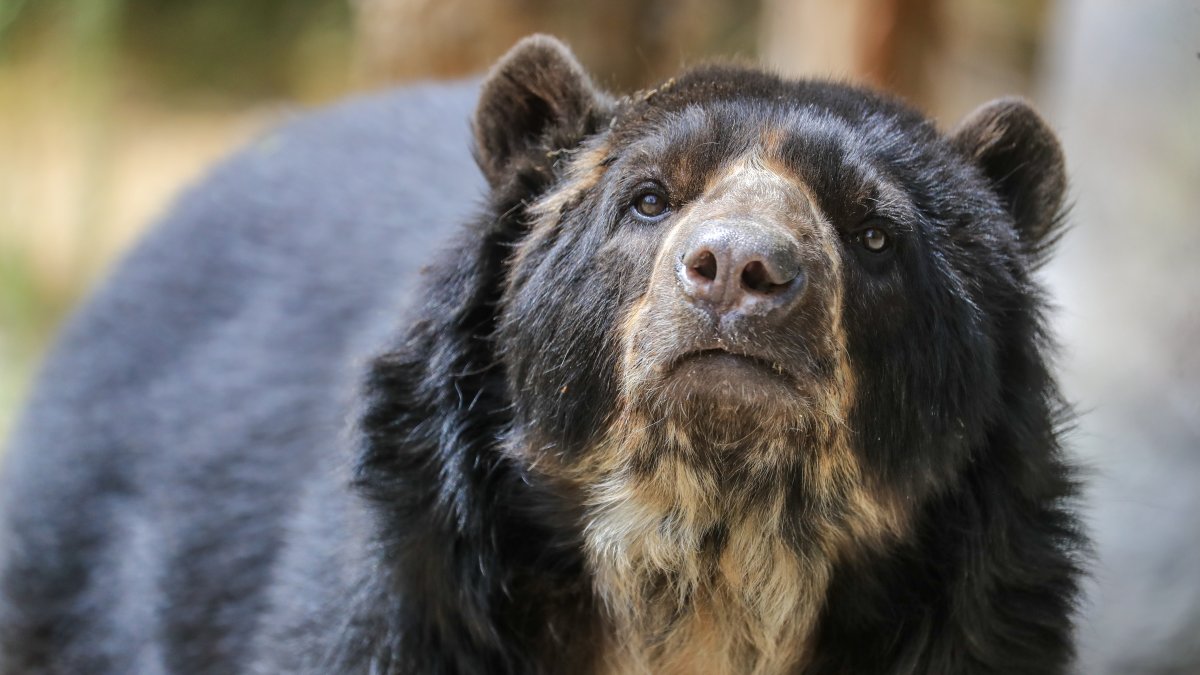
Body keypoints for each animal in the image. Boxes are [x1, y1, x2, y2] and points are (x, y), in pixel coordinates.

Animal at [0, 35, 1083, 674]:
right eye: (648, 197)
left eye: (874, 234)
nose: (739, 269)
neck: (709, 551)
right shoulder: (413, 600)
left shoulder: (982, 614)